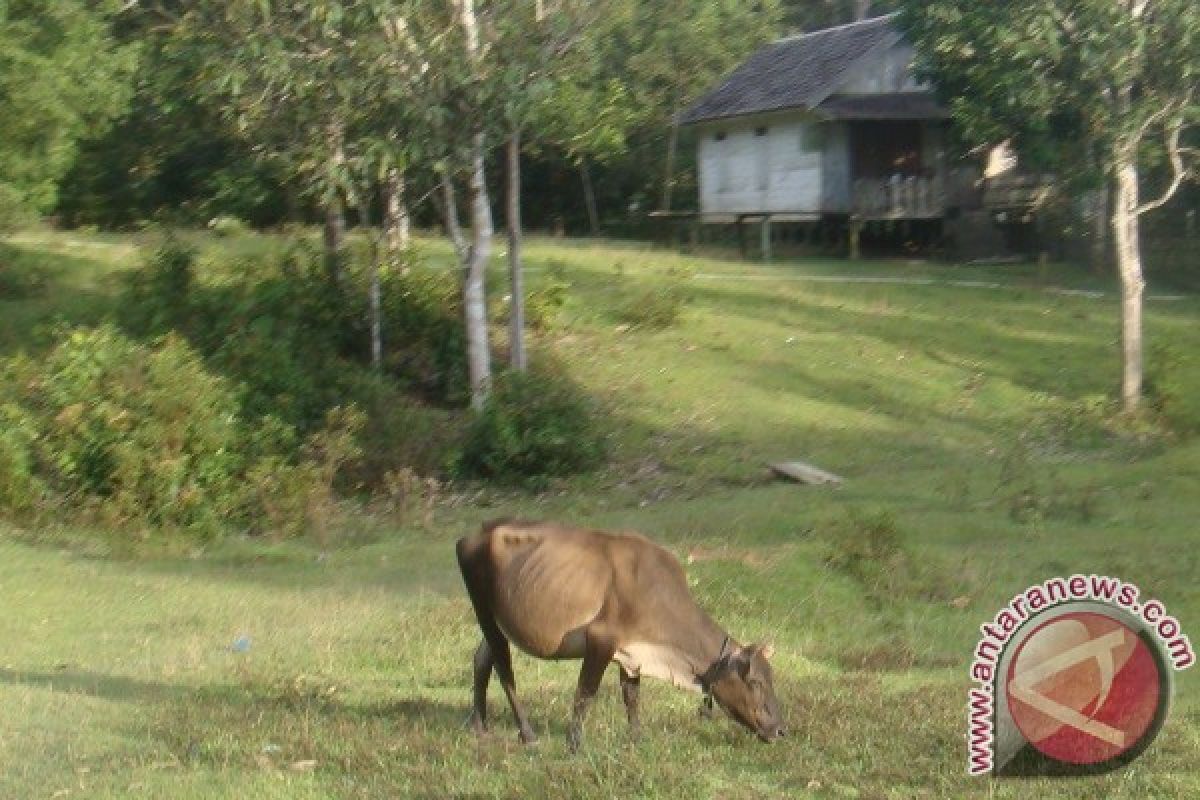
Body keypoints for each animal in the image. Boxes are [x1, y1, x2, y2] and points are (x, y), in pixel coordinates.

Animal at [451, 520, 787, 753]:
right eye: (755, 681)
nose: (781, 730)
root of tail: (475, 533)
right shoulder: (601, 639)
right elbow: (585, 693)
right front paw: (574, 745)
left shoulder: (631, 653)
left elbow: (632, 697)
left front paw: (637, 739)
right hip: (484, 610)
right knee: (504, 669)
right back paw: (527, 734)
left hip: (498, 620)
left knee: (481, 659)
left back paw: (479, 726)